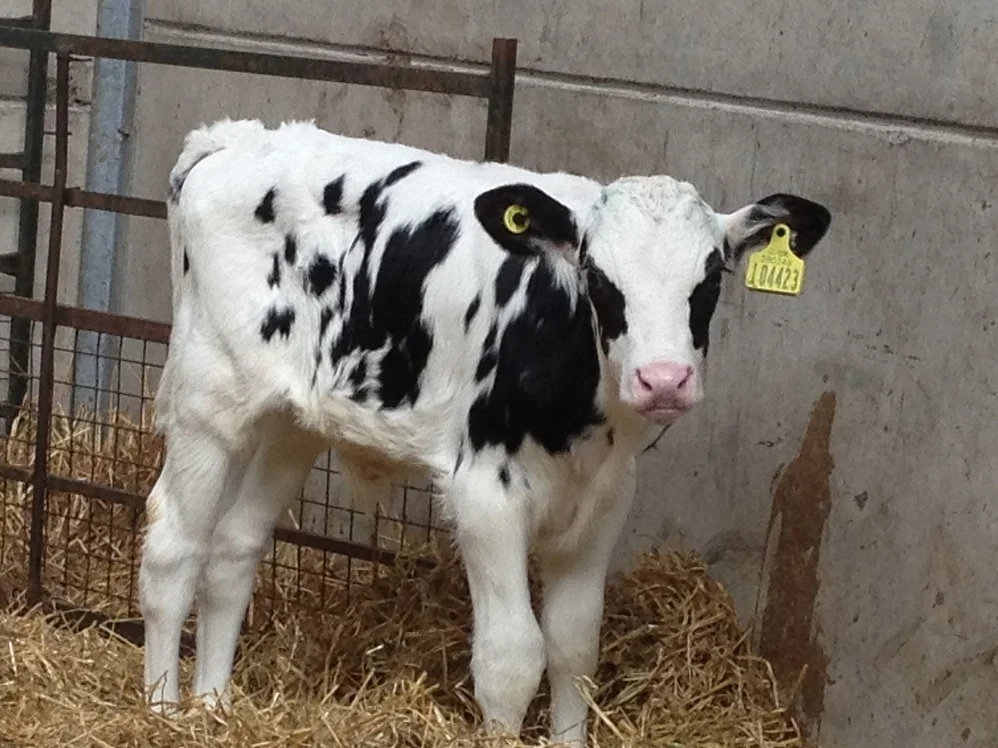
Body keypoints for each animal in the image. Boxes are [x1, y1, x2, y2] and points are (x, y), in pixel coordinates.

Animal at [139, 120, 828, 744]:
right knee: (173, 549)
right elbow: (511, 657)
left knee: (233, 547)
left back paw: (213, 707)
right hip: (208, 399)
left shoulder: (606, 499)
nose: (664, 380)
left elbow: (574, 647)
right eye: (598, 278)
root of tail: (237, 137)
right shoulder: (485, 493)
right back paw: (162, 712)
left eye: (710, 280)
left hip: (290, 419)